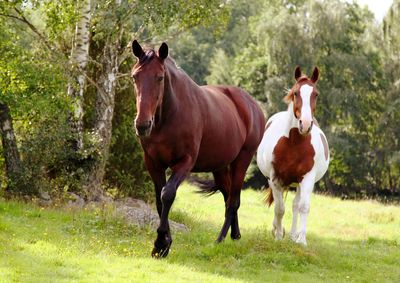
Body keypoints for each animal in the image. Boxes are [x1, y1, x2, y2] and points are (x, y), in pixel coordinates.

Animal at [131, 40, 266, 260]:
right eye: (135, 76)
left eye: (160, 77)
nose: (142, 125)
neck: (169, 115)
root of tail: (252, 105)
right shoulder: (153, 163)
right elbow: (159, 200)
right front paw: (163, 245)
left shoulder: (184, 162)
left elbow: (167, 194)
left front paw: (161, 243)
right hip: (220, 167)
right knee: (228, 196)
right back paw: (235, 235)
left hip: (242, 160)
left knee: (233, 201)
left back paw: (219, 239)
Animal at [258, 66, 330, 246]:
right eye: (296, 93)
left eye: (316, 94)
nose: (305, 124)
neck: (294, 144)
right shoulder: (275, 179)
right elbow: (279, 208)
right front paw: (278, 235)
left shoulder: (307, 178)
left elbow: (303, 207)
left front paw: (301, 239)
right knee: (280, 205)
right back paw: (278, 229)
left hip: (298, 183)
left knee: (295, 205)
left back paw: (292, 234)